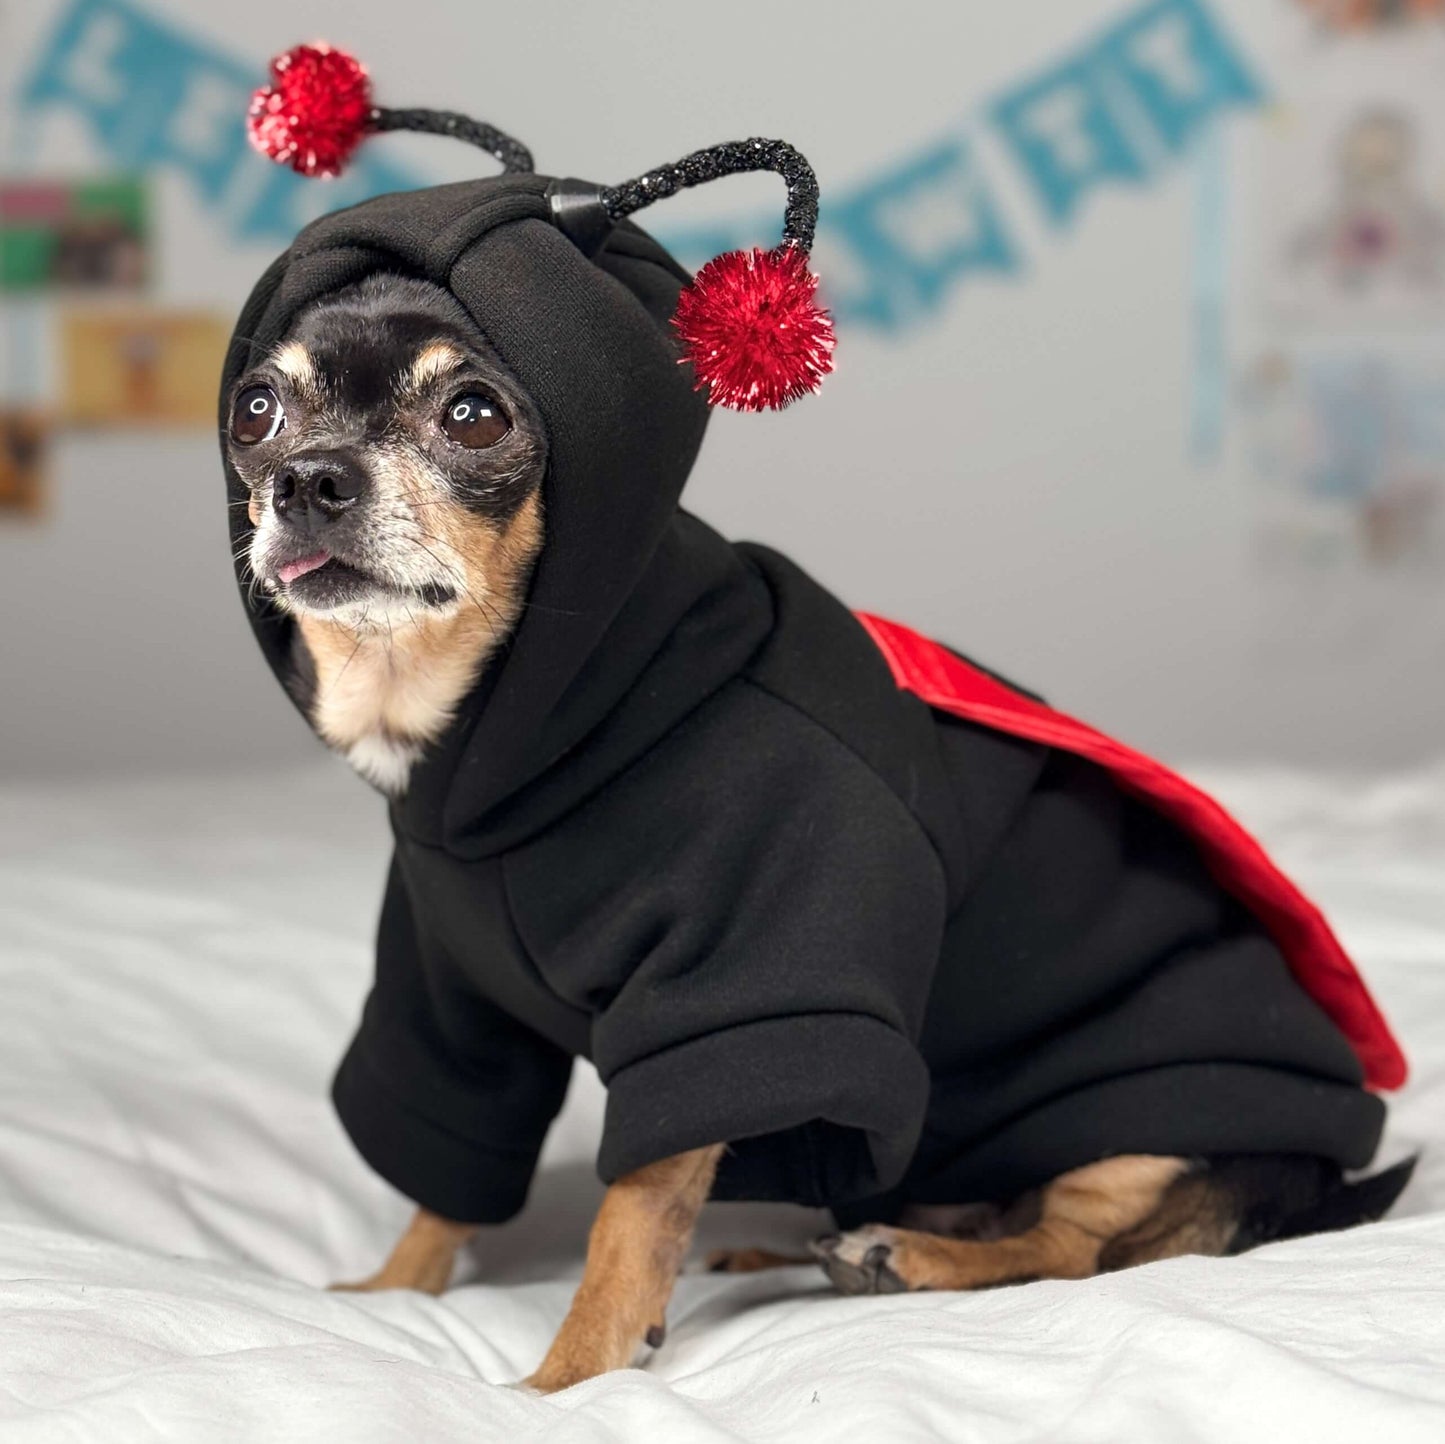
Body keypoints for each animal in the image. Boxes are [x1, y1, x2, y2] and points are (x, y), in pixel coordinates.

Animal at [225, 276, 1410, 1393]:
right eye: (256, 410)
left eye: (471, 415)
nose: (307, 480)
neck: (486, 753)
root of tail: (1322, 1180)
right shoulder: (452, 1004)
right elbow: (447, 1180)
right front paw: (390, 1292)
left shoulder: (733, 993)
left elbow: (626, 1223)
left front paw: (561, 1384)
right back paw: (800, 1253)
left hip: (1129, 1129)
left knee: (1069, 1250)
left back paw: (905, 1258)